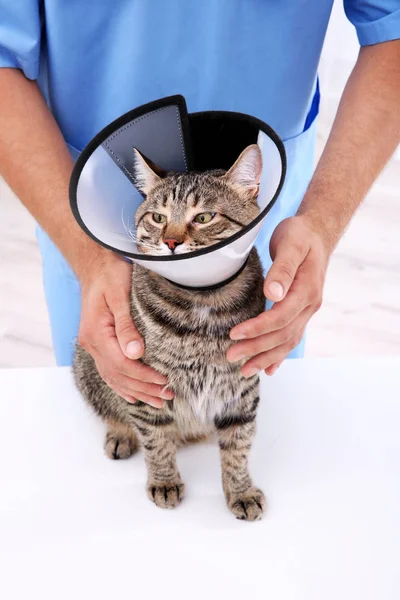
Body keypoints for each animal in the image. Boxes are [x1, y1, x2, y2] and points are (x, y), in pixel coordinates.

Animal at [73, 145, 268, 520]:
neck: (204, 299)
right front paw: (164, 481)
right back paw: (120, 436)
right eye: (158, 218)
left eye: (204, 217)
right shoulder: (145, 386)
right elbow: (156, 439)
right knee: (112, 412)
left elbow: (239, 445)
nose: (171, 242)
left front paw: (241, 490)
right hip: (88, 366)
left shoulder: (241, 388)